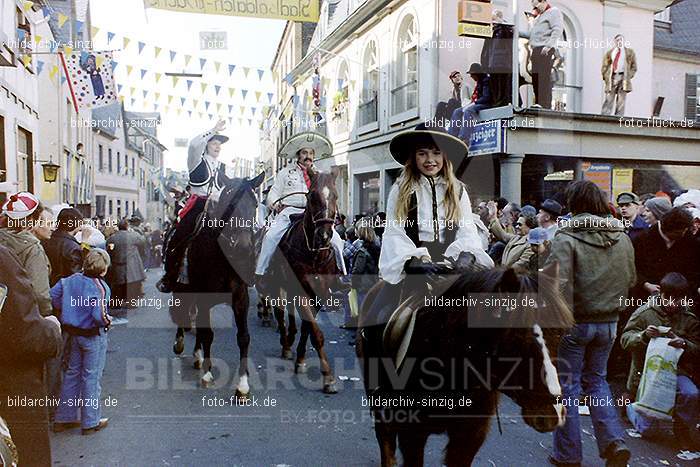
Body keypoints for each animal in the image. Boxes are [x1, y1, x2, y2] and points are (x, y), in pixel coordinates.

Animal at [171, 174, 264, 400]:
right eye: (229, 205)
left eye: (255, 205)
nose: (243, 247)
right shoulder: (203, 295)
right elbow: (208, 334)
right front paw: (207, 374)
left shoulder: (240, 297)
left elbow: (243, 337)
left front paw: (243, 385)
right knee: (183, 313)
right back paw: (181, 344)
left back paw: (197, 355)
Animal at [260, 170, 342, 394]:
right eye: (312, 195)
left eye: (335, 195)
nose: (324, 235)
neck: (314, 254)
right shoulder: (301, 291)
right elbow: (316, 332)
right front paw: (328, 377)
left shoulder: (319, 294)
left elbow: (308, 326)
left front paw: (302, 359)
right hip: (276, 284)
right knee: (280, 312)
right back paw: (286, 344)